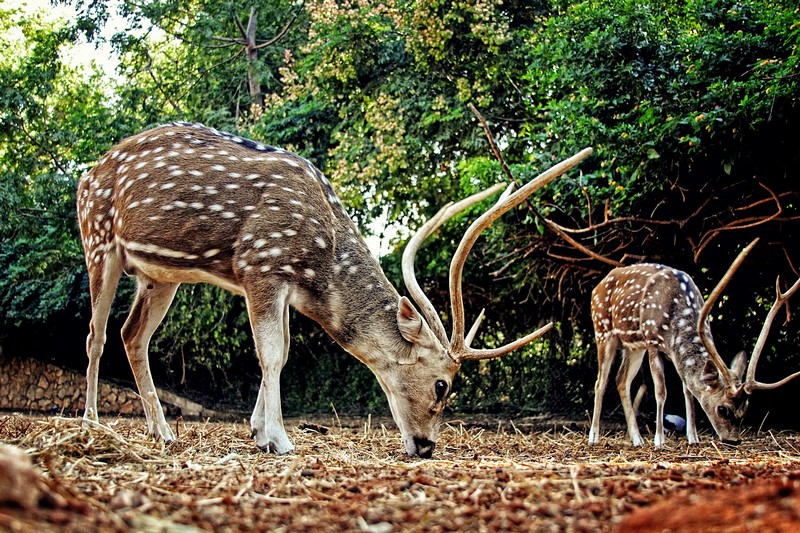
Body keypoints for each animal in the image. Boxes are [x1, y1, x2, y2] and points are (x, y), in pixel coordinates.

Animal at [76, 120, 592, 458]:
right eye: (443, 384)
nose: (427, 446)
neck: (320, 266)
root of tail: (86, 175)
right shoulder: (259, 264)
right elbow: (271, 355)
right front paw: (281, 440)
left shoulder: (283, 287)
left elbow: (283, 350)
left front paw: (257, 432)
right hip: (99, 242)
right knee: (96, 334)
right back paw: (91, 422)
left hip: (162, 276)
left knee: (132, 335)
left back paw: (162, 433)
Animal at [588, 239, 800, 446]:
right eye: (722, 409)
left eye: (745, 409)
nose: (734, 440)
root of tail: (596, 288)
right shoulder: (652, 340)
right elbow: (661, 390)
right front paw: (659, 440)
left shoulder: (671, 352)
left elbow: (687, 390)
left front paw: (693, 437)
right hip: (603, 330)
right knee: (600, 382)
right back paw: (594, 436)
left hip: (634, 346)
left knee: (621, 379)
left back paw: (637, 439)